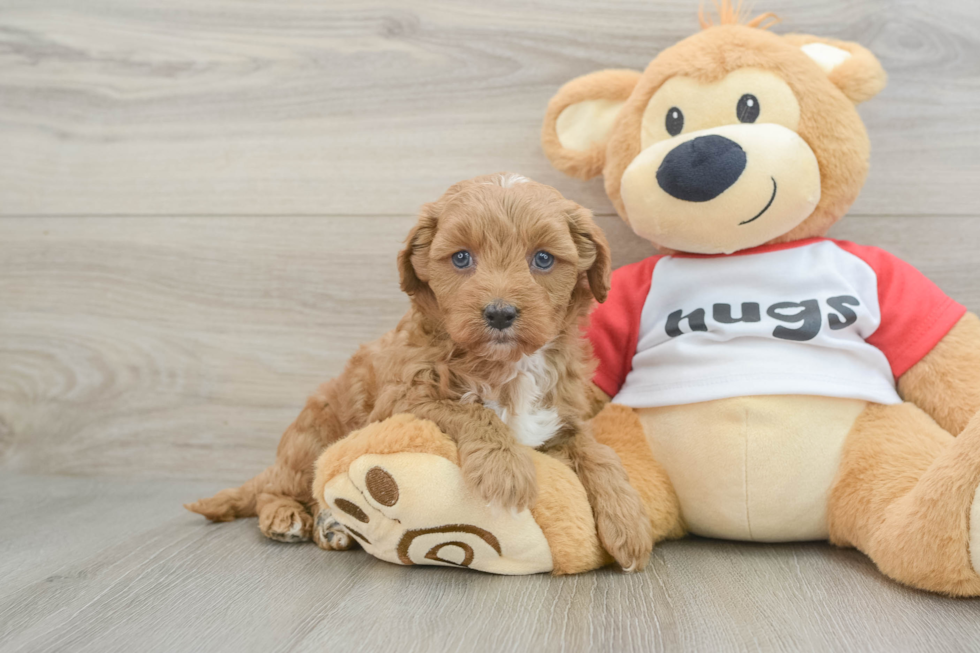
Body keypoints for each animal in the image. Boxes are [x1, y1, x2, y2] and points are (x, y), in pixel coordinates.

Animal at [188, 174, 656, 572]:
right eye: (462, 258)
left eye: (543, 259)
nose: (500, 313)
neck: (506, 365)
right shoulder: (403, 400)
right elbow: (471, 410)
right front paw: (505, 469)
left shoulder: (562, 415)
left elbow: (599, 452)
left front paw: (629, 523)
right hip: (313, 434)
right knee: (279, 487)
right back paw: (289, 516)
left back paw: (330, 524)